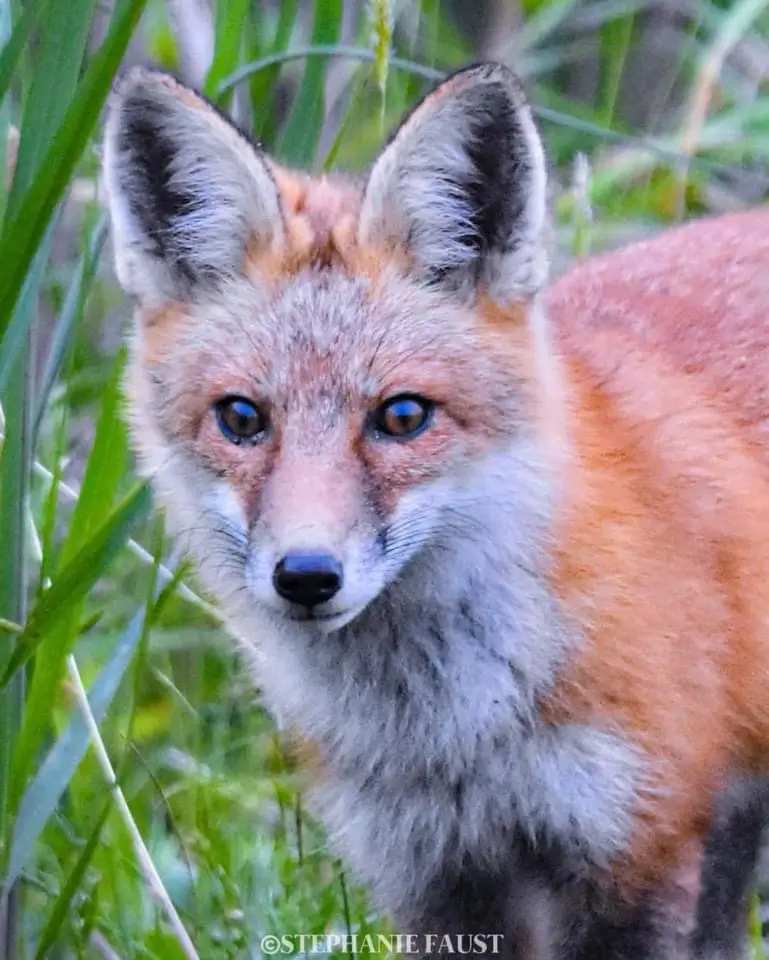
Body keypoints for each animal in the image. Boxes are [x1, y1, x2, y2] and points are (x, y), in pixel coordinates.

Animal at [100, 60, 769, 958]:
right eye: (241, 419)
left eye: (403, 416)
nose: (305, 575)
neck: (453, 736)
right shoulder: (430, 874)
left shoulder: (637, 849)